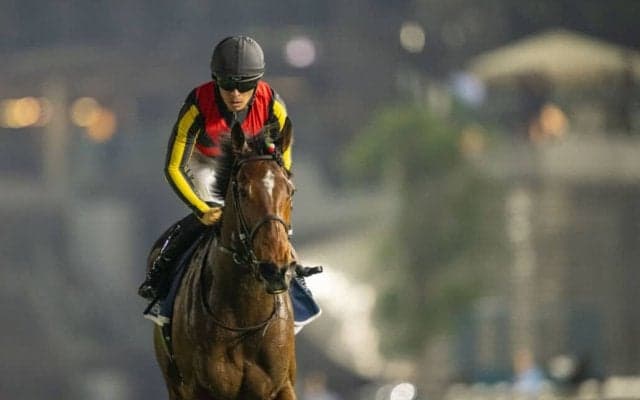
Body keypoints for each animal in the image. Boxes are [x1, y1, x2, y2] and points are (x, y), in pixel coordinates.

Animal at [154, 120, 298, 399]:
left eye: (291, 191)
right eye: (241, 190)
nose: (274, 269)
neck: (245, 321)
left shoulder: (282, 386)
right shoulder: (200, 389)